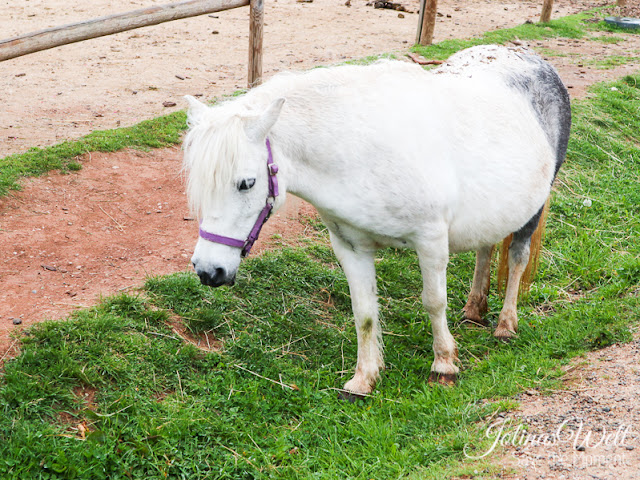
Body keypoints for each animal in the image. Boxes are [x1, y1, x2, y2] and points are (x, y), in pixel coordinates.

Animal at [180, 45, 568, 398]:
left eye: (247, 183)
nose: (209, 270)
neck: (361, 152)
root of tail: (534, 60)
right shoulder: (351, 247)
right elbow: (364, 312)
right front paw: (364, 378)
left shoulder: (430, 240)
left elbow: (434, 302)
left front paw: (443, 365)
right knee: (484, 249)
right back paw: (474, 309)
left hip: (533, 209)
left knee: (516, 258)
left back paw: (505, 324)